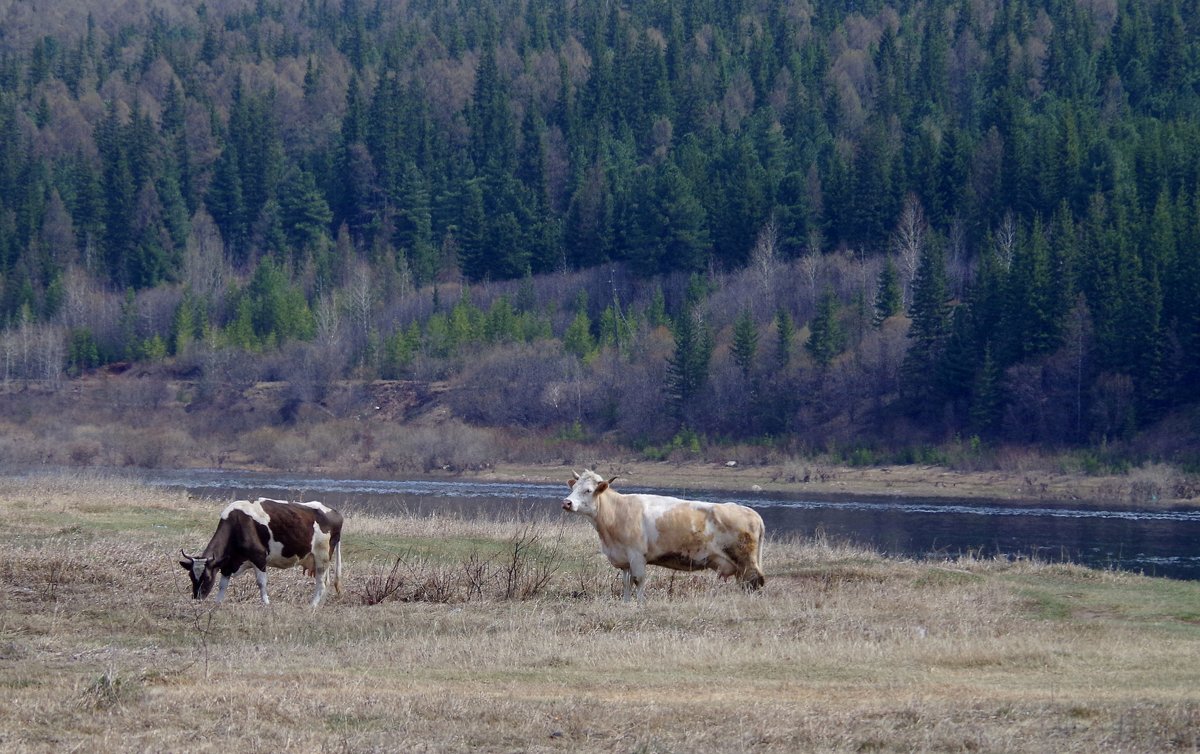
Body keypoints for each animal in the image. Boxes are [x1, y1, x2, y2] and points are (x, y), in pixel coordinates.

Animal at [180, 497, 345, 609]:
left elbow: (261, 583)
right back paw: (320, 605)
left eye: (207, 577)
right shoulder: (228, 562)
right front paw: (217, 602)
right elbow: (222, 585)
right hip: (319, 560)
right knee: (326, 581)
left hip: (322, 556)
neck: (237, 523)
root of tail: (335, 512)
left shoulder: (259, 557)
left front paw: (265, 603)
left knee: (321, 583)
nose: (197, 597)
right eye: (191, 576)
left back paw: (312, 605)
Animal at [564, 468, 768, 602]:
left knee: (754, 582)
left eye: (588, 490)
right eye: (573, 489)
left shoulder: (637, 556)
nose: (566, 502)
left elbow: (638, 581)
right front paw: (626, 603)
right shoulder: (624, 559)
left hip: (747, 562)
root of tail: (752, 512)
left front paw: (640, 604)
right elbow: (626, 583)